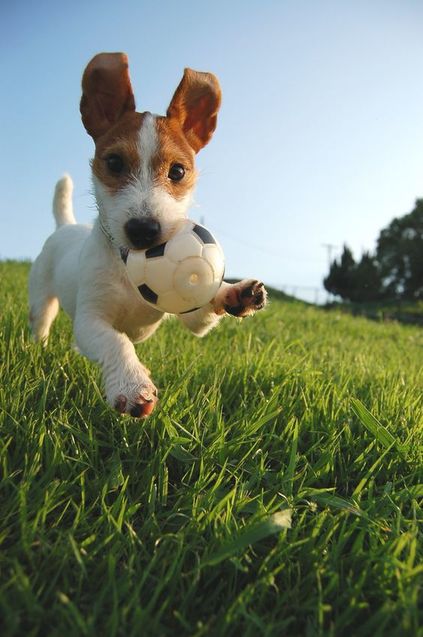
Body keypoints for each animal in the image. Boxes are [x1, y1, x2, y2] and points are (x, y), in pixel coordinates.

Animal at [29, 53, 268, 418]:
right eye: (114, 163)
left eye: (178, 171)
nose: (143, 229)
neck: (126, 268)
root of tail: (65, 225)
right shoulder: (90, 319)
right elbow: (116, 341)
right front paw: (131, 384)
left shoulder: (189, 314)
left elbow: (202, 310)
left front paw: (233, 293)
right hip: (42, 298)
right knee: (41, 323)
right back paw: (37, 350)